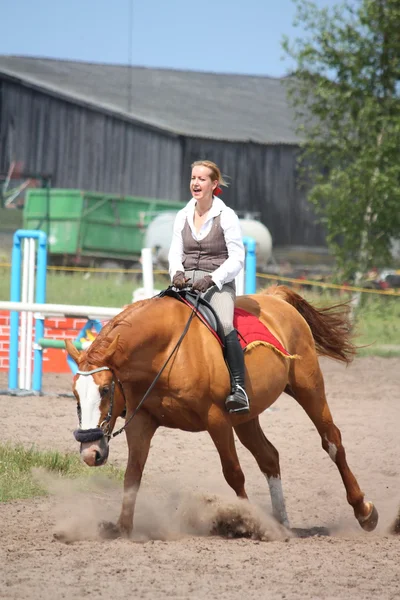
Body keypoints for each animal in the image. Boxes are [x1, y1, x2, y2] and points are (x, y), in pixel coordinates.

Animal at [65, 286, 378, 540]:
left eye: (106, 389)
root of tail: (276, 297)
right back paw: (282, 524)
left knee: (332, 442)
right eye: (75, 394)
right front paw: (122, 528)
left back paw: (364, 512)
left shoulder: (217, 420)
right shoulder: (141, 422)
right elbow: (133, 475)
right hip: (247, 418)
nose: (90, 453)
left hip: (309, 389)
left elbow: (233, 473)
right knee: (269, 457)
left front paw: (246, 521)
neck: (166, 351)